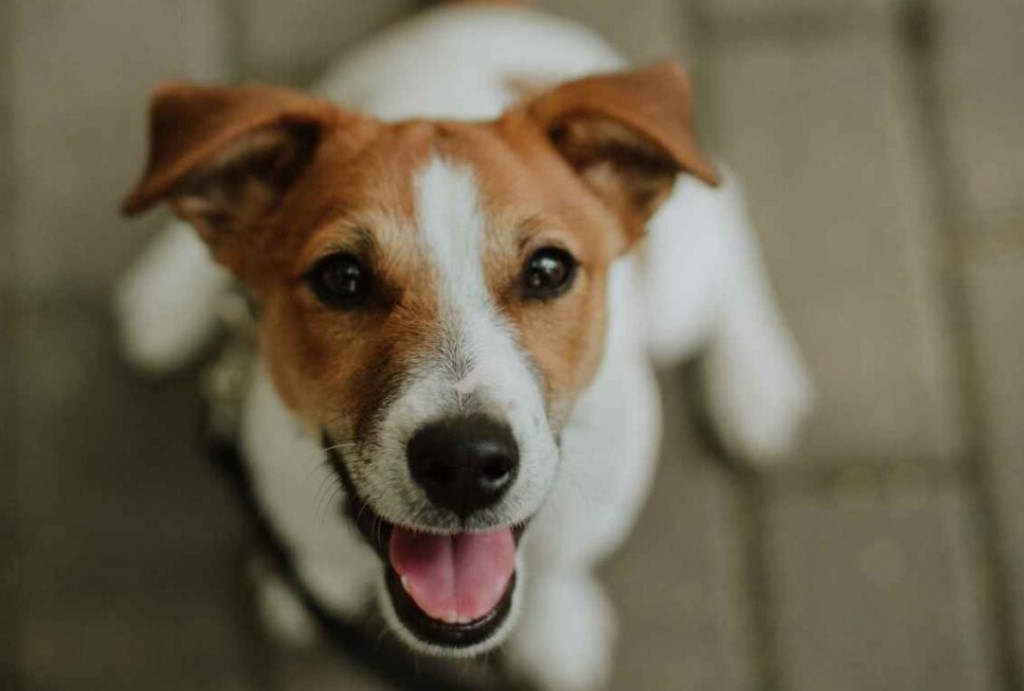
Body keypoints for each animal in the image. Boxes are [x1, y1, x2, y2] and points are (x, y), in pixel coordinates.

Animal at [116, 2, 811, 687]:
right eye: (341, 278)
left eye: (549, 270)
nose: (465, 464)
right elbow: (313, 554)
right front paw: (301, 587)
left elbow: (564, 566)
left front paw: (560, 627)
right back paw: (163, 298)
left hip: (678, 289)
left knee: (732, 207)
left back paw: (757, 385)